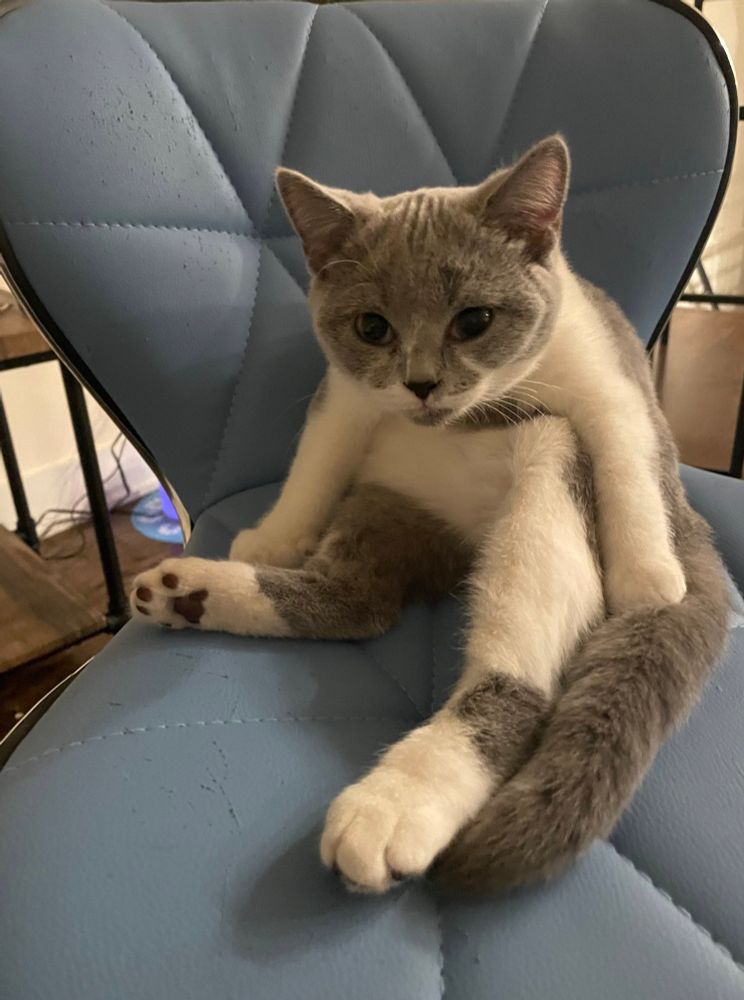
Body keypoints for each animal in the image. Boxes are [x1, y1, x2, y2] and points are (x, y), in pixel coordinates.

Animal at [132, 137, 728, 896]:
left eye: (474, 321)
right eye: (372, 327)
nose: (420, 384)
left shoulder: (608, 383)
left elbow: (627, 454)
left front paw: (648, 579)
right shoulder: (344, 398)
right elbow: (315, 463)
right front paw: (274, 536)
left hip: (550, 464)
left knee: (516, 682)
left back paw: (391, 808)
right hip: (386, 505)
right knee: (360, 602)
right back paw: (187, 592)